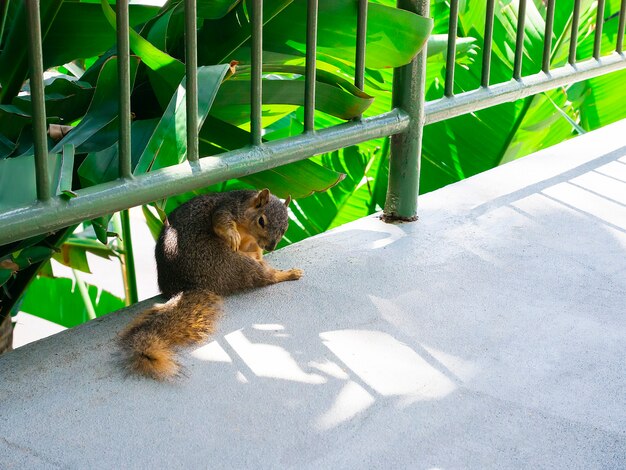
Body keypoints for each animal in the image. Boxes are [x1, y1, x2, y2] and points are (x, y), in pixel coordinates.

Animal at [119, 189, 302, 380]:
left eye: (286, 226)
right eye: (261, 221)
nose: (271, 247)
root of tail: (185, 286)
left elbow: (254, 250)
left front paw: (258, 252)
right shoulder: (227, 207)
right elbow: (220, 221)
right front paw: (232, 236)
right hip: (225, 263)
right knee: (262, 276)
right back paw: (286, 274)